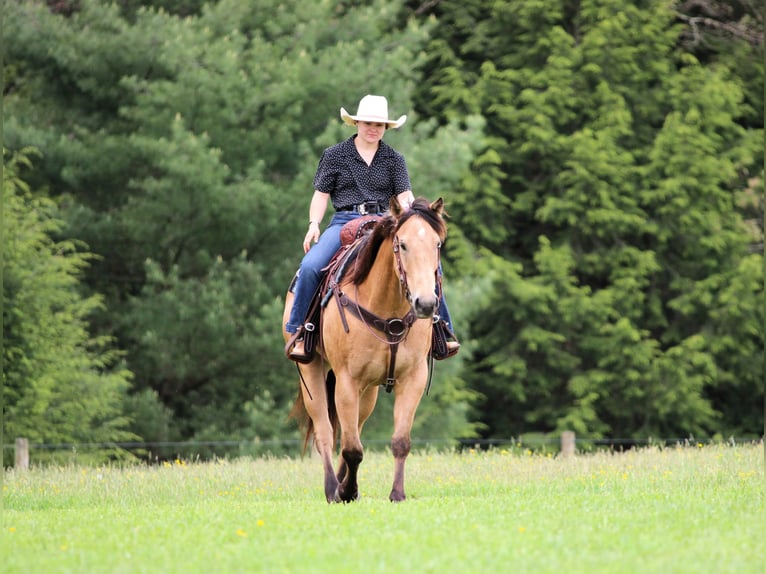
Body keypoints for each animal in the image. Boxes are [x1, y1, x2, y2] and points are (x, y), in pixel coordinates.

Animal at [282, 196, 447, 503]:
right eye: (402, 244)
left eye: (437, 245)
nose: (426, 304)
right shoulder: (347, 381)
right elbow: (351, 449)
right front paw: (345, 491)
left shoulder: (413, 379)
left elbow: (399, 442)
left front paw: (397, 494)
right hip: (312, 370)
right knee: (325, 433)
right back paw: (332, 488)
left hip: (368, 391)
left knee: (353, 429)